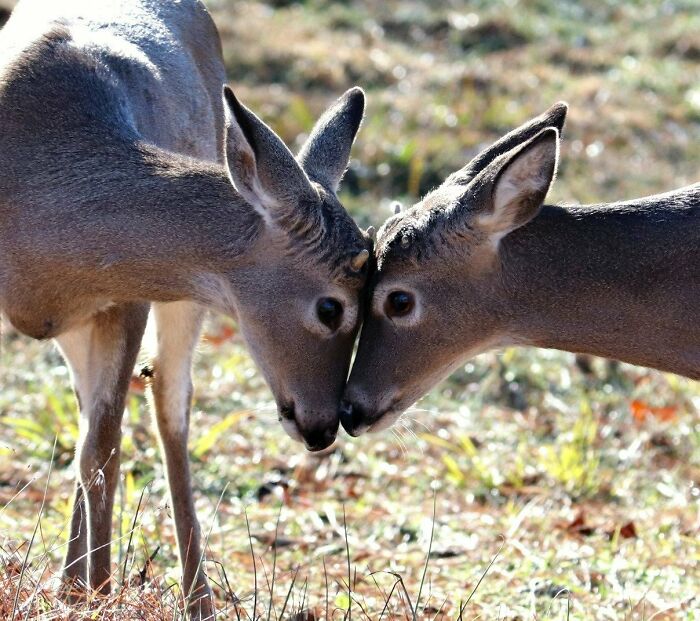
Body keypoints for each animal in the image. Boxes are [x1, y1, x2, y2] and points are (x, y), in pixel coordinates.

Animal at [0, 0, 372, 616]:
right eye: (330, 308)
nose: (324, 428)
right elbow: (95, 446)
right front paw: (90, 591)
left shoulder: (128, 291)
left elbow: (104, 449)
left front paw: (101, 594)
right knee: (93, 419)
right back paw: (71, 583)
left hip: (176, 304)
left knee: (167, 407)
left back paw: (191, 598)